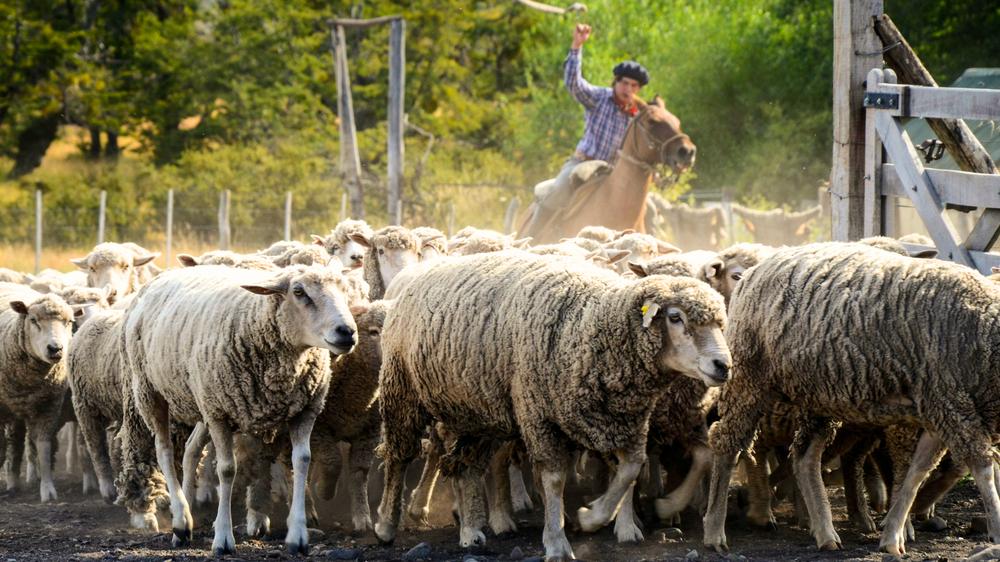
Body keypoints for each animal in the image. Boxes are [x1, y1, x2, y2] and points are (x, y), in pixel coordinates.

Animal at [0, 284, 78, 502]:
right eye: (33, 320)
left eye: (69, 322)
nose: (55, 349)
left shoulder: (48, 407)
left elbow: (43, 448)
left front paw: (47, 488)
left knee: (17, 442)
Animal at [119, 264, 359, 555]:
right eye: (299, 292)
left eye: (344, 288)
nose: (347, 332)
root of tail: (164, 274)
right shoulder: (219, 414)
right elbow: (227, 470)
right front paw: (223, 537)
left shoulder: (305, 411)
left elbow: (301, 461)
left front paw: (298, 535)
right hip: (150, 390)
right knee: (164, 451)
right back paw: (180, 521)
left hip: (202, 399)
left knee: (190, 449)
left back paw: (187, 516)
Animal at [374, 251, 731, 559]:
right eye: (675, 317)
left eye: (720, 323)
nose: (723, 365)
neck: (593, 327)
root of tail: (420, 272)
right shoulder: (540, 416)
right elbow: (555, 479)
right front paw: (558, 542)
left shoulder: (622, 420)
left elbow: (632, 469)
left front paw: (596, 516)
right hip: (402, 391)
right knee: (400, 457)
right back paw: (386, 525)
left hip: (474, 412)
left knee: (465, 465)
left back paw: (471, 530)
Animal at [701, 242, 1000, 556]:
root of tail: (762, 264)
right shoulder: (952, 405)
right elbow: (982, 469)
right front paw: (996, 528)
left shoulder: (941, 410)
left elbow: (917, 472)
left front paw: (892, 534)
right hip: (749, 378)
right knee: (727, 443)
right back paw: (715, 529)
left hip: (817, 395)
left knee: (805, 456)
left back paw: (824, 531)